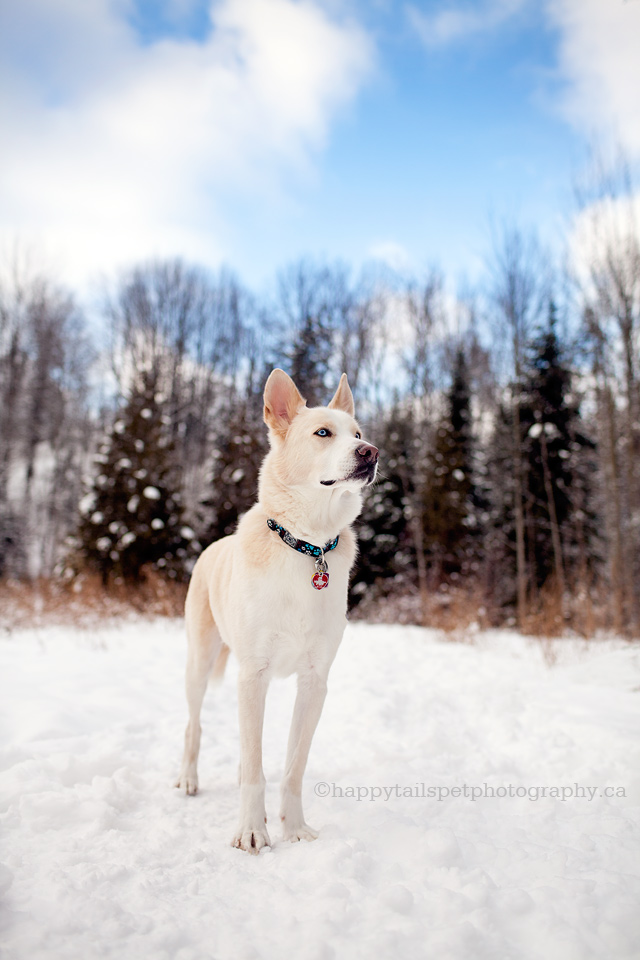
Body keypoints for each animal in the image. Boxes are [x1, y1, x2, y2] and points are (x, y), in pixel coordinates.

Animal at [175, 368, 378, 856]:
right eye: (323, 433)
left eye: (358, 433)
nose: (371, 453)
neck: (308, 545)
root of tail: (213, 546)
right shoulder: (253, 673)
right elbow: (255, 768)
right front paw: (252, 831)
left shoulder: (315, 681)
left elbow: (291, 766)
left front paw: (294, 828)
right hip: (200, 661)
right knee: (194, 725)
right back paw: (188, 778)